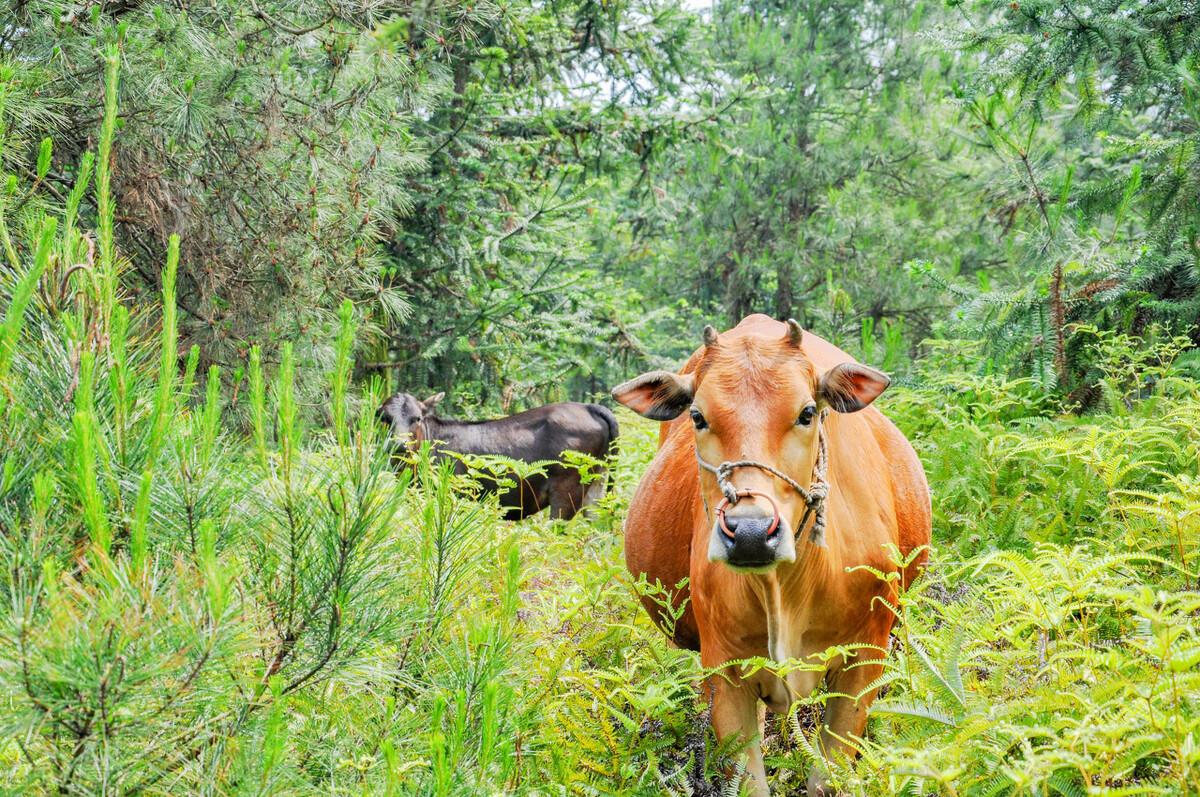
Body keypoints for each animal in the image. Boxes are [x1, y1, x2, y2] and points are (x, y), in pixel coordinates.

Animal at [376, 393, 619, 523]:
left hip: (567, 490)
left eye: (417, 418)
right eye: (384, 418)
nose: (399, 445)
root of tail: (589, 407)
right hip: (596, 485)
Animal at [609, 314, 926, 792]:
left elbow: (826, 778)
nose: (751, 533)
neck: (786, 591)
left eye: (807, 413)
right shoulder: (723, 672)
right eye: (697, 416)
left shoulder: (865, 662)